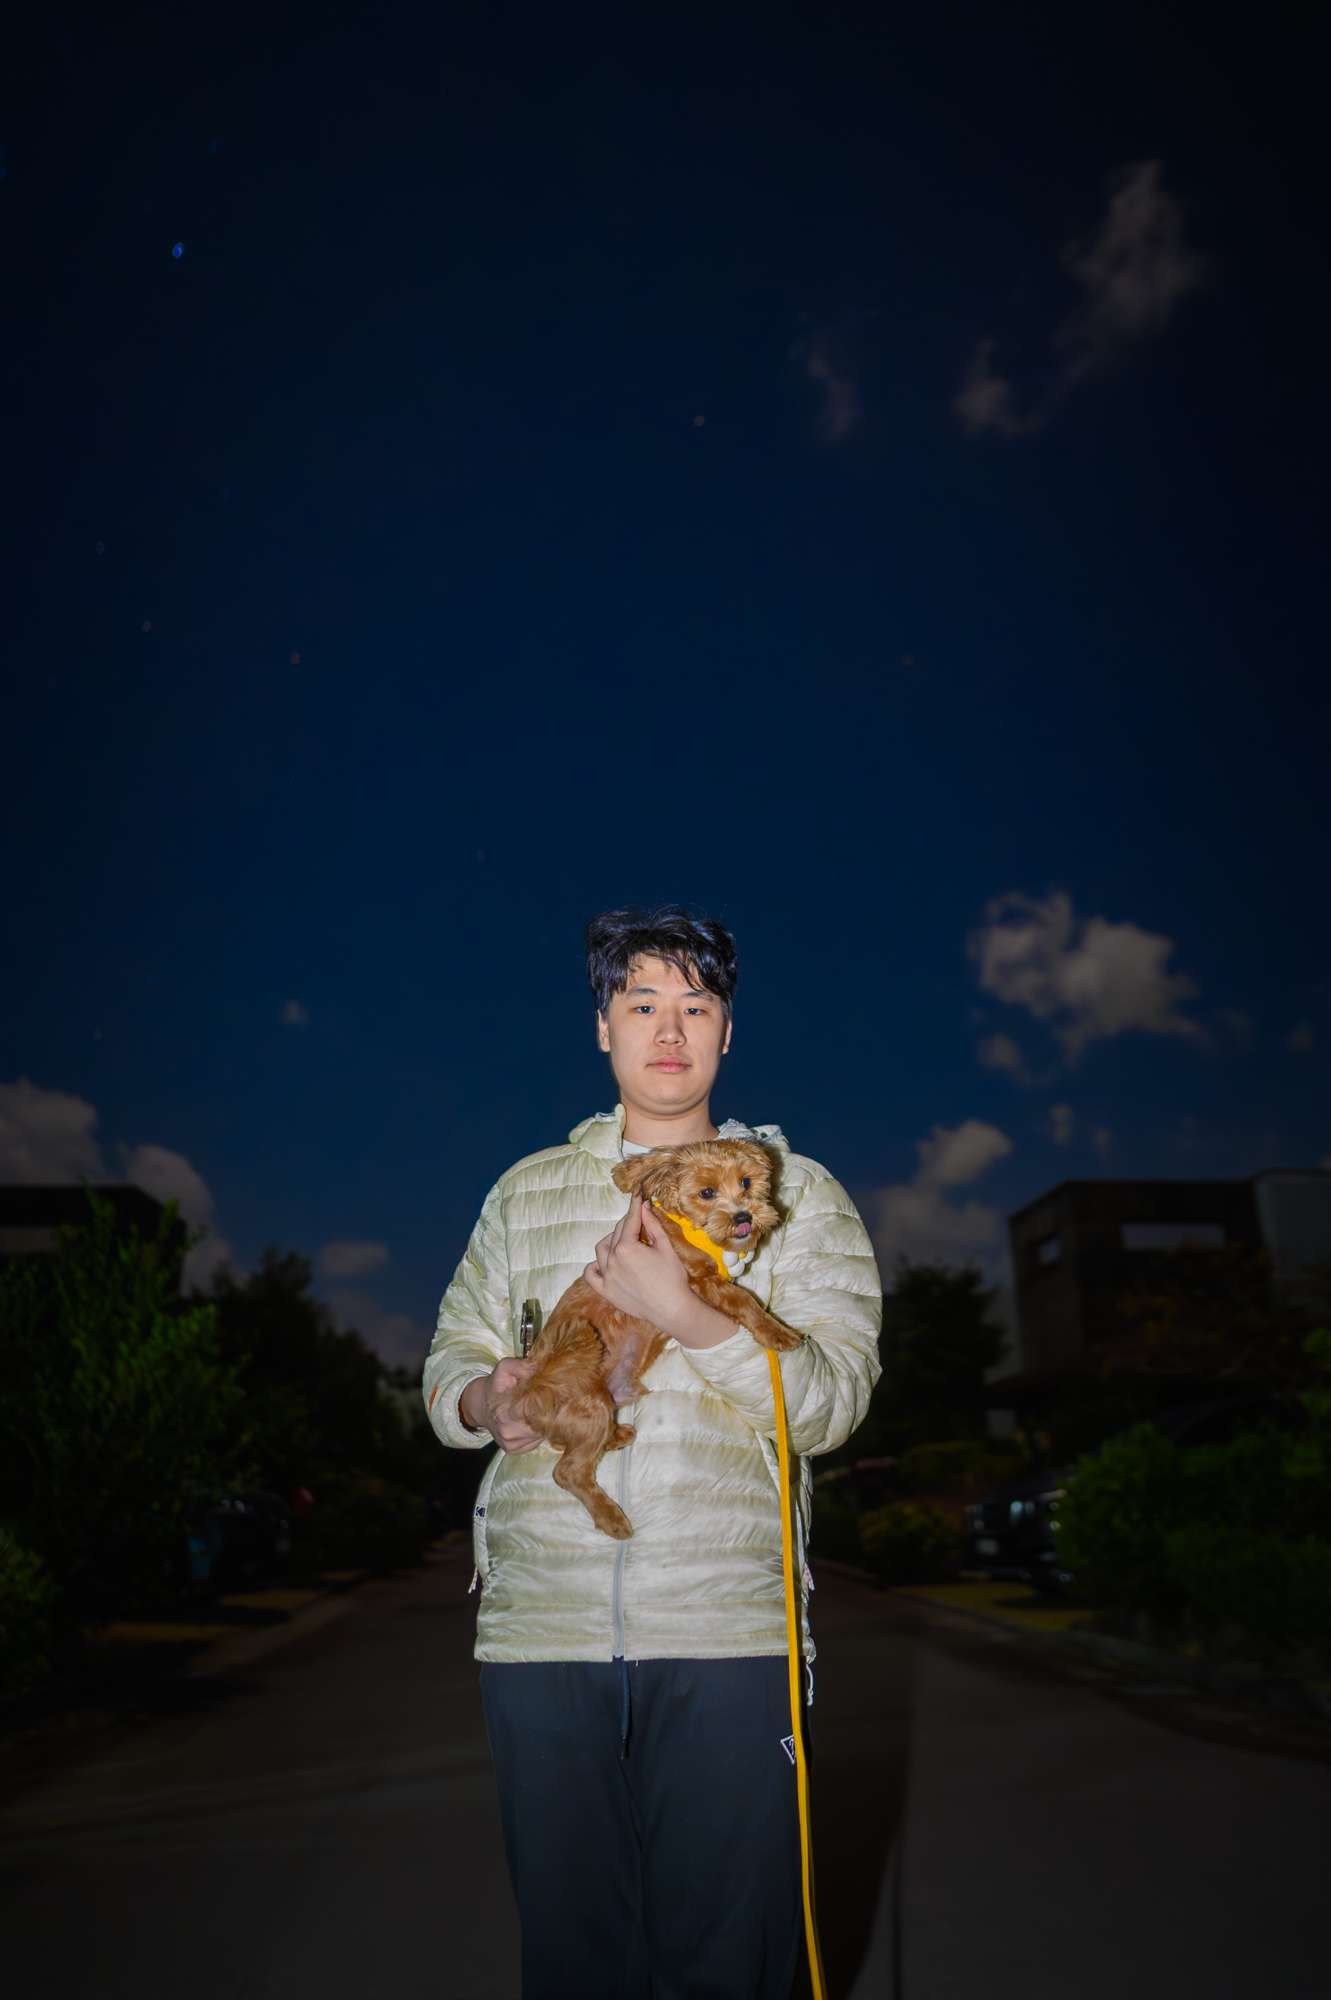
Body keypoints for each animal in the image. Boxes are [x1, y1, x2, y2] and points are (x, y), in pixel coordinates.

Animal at [507, 1137, 800, 1539]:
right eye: (707, 1192)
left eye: (746, 1182)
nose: (744, 1218)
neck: (691, 1230)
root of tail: (534, 1388)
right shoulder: (699, 1282)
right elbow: (745, 1301)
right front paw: (778, 1333)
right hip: (591, 1406)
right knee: (567, 1471)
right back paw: (611, 1517)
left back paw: (615, 1438)